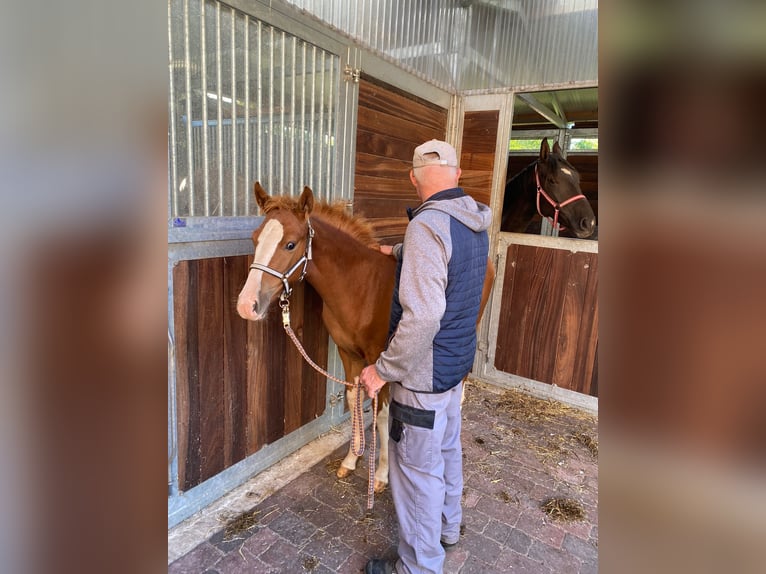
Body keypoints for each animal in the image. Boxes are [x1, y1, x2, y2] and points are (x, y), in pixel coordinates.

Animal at [236, 182, 495, 493]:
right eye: (255, 239)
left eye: (290, 244)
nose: (246, 305)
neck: (361, 286)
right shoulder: (348, 353)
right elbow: (352, 400)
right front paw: (351, 460)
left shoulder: (378, 360)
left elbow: (380, 414)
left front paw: (381, 474)